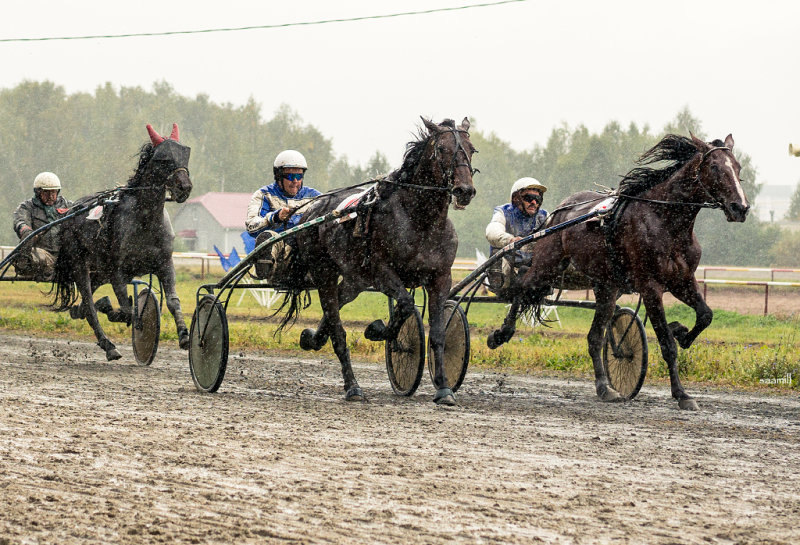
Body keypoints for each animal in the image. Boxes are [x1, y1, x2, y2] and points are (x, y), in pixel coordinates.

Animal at [282, 117, 476, 402]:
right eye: (441, 149)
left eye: (472, 150)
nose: (465, 190)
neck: (421, 221)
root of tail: (311, 211)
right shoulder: (382, 272)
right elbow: (405, 304)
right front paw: (377, 330)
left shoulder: (441, 277)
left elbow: (439, 334)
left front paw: (443, 388)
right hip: (323, 272)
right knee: (337, 329)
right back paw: (352, 387)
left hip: (354, 279)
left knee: (337, 303)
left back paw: (313, 338)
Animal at [488, 134, 752, 410]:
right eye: (715, 167)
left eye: (738, 167)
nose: (741, 207)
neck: (665, 220)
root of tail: (556, 213)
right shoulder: (650, 287)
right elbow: (667, 344)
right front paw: (682, 394)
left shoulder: (683, 280)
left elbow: (705, 315)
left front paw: (681, 331)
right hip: (546, 265)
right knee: (521, 287)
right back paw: (501, 333)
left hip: (606, 286)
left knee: (595, 338)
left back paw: (605, 388)